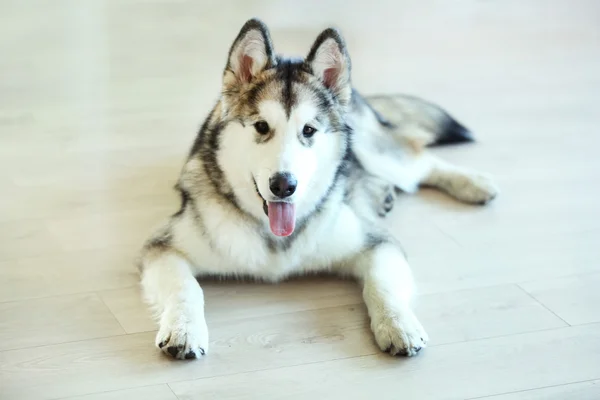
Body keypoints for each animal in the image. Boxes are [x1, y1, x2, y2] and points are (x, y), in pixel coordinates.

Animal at [138, 18, 500, 360]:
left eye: (309, 130)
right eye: (261, 127)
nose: (283, 185)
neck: (276, 241)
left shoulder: (377, 242)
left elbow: (381, 285)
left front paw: (398, 325)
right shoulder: (163, 248)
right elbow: (187, 288)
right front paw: (184, 329)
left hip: (374, 149)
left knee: (418, 160)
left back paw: (474, 184)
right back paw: (382, 193)